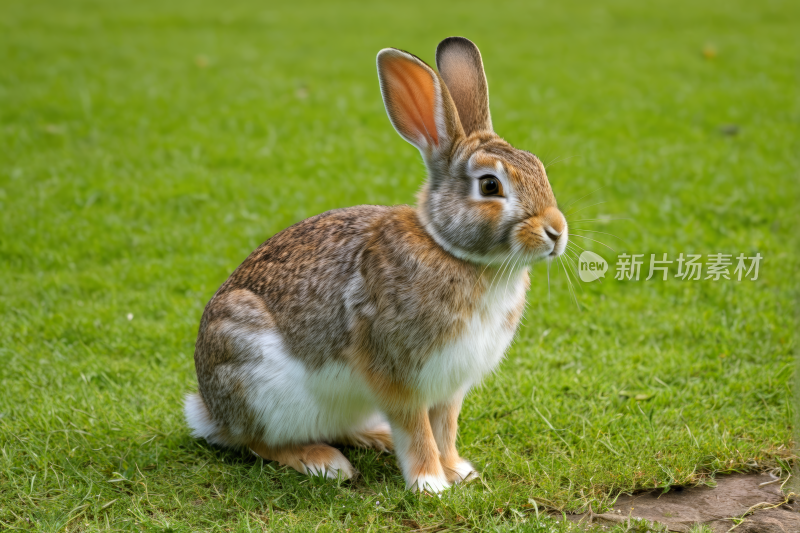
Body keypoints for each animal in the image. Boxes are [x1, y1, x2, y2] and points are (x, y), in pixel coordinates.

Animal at [184, 37, 564, 492]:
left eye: (537, 165)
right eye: (490, 185)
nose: (557, 231)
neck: (453, 252)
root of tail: (208, 411)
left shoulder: (450, 385)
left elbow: (445, 427)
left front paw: (458, 470)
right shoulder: (396, 373)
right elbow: (416, 428)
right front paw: (430, 484)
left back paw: (376, 438)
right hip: (257, 383)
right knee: (259, 442)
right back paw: (324, 462)